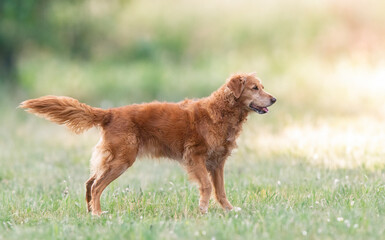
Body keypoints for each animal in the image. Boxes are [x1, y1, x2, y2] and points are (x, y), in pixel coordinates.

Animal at [19, 72, 274, 215]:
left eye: (262, 87)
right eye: (255, 88)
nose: (274, 99)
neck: (221, 111)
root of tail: (110, 113)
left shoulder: (217, 163)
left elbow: (220, 190)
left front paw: (229, 210)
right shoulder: (195, 157)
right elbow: (207, 187)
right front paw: (202, 209)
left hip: (111, 160)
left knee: (89, 183)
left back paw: (90, 211)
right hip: (122, 160)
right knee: (96, 186)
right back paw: (98, 214)